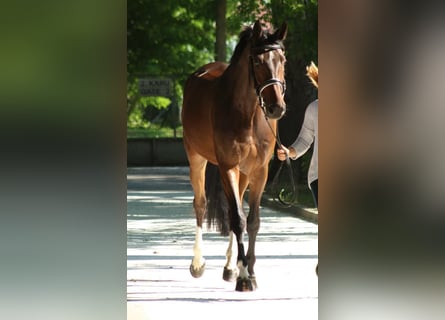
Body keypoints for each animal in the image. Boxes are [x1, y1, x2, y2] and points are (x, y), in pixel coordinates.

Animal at [181, 19, 288, 290]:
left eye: (282, 59)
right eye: (258, 61)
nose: (276, 108)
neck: (247, 114)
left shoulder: (260, 171)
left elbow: (252, 220)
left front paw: (247, 271)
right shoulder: (227, 165)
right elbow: (237, 218)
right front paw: (244, 277)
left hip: (244, 172)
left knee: (236, 203)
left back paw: (230, 266)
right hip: (196, 158)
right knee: (200, 204)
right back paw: (198, 263)